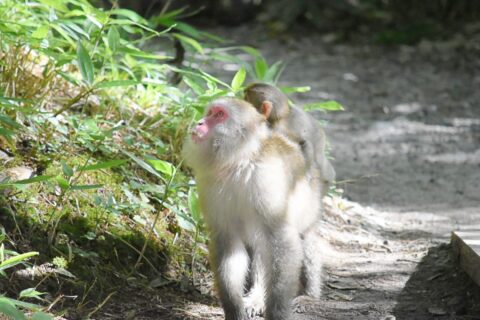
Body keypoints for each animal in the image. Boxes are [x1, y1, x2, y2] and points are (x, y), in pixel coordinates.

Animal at [183, 98, 322, 320]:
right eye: (210, 112)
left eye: (219, 115)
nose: (199, 122)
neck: (238, 163)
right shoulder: (209, 185)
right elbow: (229, 241)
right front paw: (233, 309)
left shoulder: (265, 180)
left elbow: (281, 238)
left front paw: (277, 313)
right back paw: (257, 297)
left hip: (312, 196)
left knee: (303, 236)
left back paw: (310, 295)